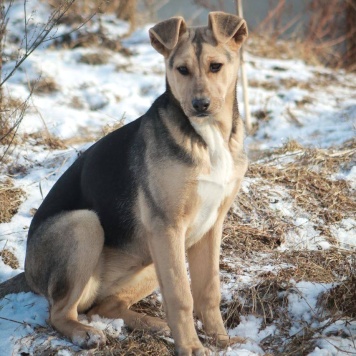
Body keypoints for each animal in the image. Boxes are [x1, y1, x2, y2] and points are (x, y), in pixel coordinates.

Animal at [0, 11, 249, 356]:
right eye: (181, 69)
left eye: (216, 66)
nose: (200, 105)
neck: (206, 137)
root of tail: (27, 271)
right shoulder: (167, 226)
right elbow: (181, 296)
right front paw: (191, 347)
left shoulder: (210, 227)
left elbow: (208, 290)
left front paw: (221, 341)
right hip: (85, 226)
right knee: (60, 312)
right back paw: (85, 334)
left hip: (151, 257)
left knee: (104, 305)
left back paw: (154, 325)